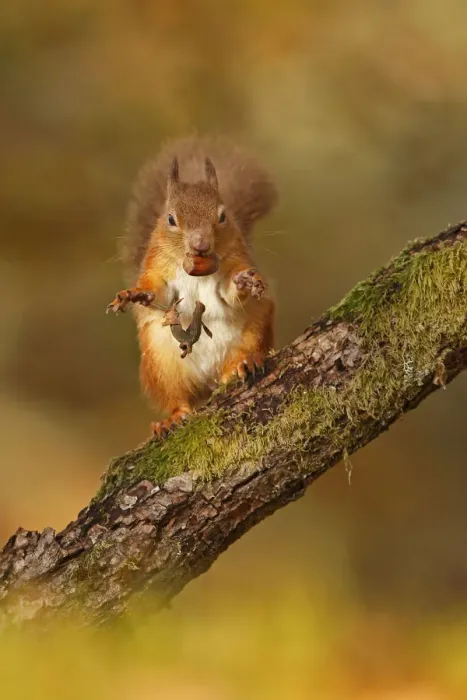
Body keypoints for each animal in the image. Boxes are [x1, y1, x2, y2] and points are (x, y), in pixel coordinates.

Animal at [108, 136, 278, 436]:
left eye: (222, 216)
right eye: (170, 219)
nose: (200, 244)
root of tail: (210, 380)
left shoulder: (236, 258)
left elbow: (229, 294)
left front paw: (244, 281)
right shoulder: (157, 266)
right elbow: (160, 293)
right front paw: (137, 294)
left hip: (254, 330)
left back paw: (245, 363)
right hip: (161, 365)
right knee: (177, 399)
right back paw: (172, 417)